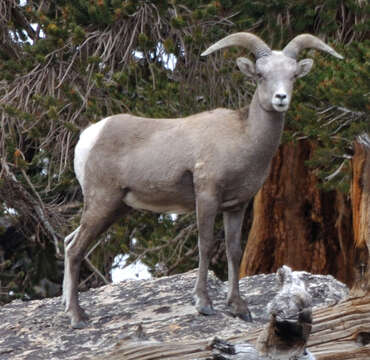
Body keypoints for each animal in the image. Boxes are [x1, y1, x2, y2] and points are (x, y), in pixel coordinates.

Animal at [62, 32, 342, 328]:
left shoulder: (236, 206)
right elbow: (205, 246)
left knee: (69, 242)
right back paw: (77, 318)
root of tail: (89, 137)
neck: (244, 137)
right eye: (260, 75)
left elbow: (234, 251)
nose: (281, 98)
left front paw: (239, 308)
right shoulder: (207, 196)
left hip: (115, 208)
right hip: (103, 202)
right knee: (75, 250)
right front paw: (204, 304)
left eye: (293, 75)